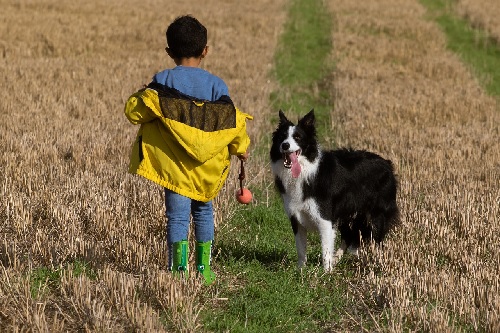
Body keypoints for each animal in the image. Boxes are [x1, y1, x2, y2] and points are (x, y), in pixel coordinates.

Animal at [270, 110, 398, 272]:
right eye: (282, 137)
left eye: (297, 137)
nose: (285, 145)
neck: (305, 170)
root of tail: (387, 163)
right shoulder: (296, 217)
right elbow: (301, 249)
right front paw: (301, 271)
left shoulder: (325, 217)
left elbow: (325, 248)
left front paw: (326, 273)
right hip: (347, 213)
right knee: (349, 236)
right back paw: (338, 258)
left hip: (376, 214)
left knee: (377, 239)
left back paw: (378, 264)